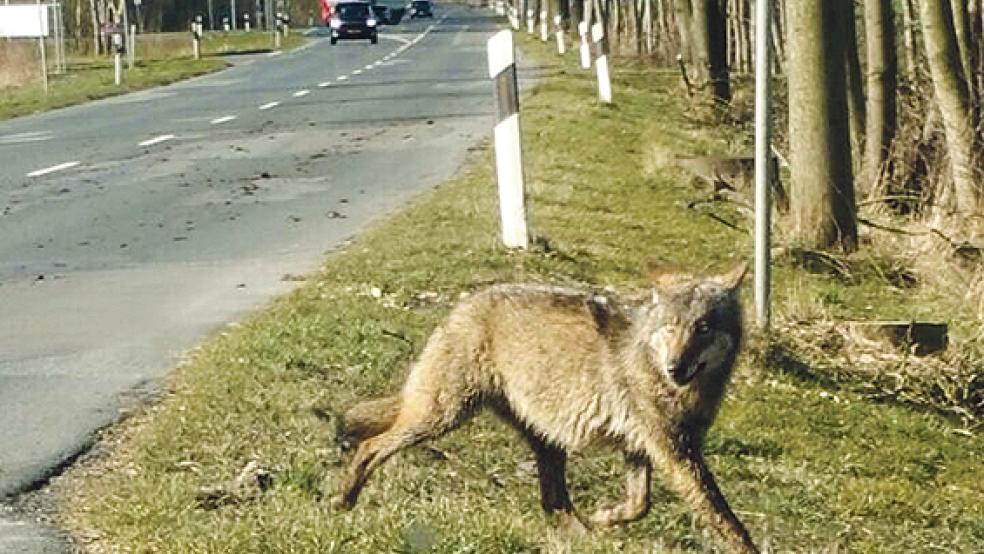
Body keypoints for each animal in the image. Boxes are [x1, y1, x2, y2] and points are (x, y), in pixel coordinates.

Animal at [334, 264, 756, 552]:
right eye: (671, 326)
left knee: (552, 502)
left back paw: (585, 536)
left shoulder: (644, 448)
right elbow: (725, 518)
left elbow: (639, 504)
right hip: (443, 416)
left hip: (545, 439)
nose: (675, 367)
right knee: (370, 447)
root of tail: (465, 303)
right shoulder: (676, 453)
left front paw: (606, 516)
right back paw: (345, 500)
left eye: (703, 328)